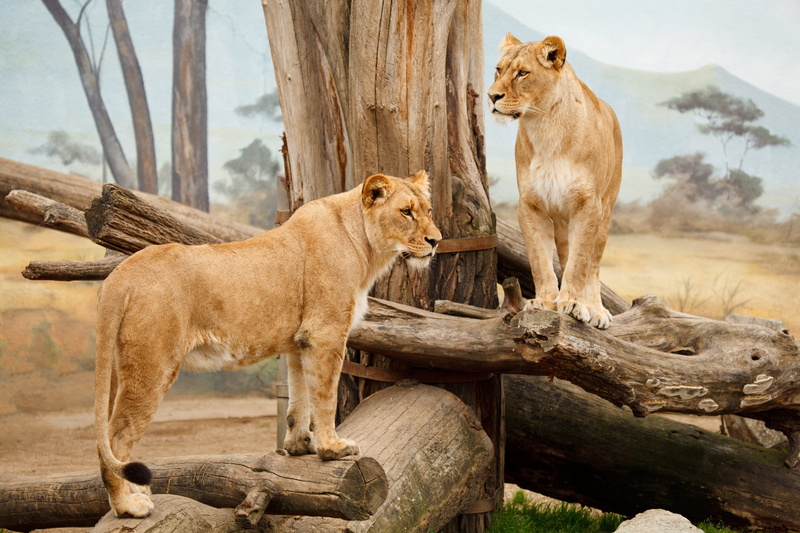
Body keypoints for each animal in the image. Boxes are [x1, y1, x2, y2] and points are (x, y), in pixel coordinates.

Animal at [94, 170, 441, 518]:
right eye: (406, 212)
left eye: (428, 211)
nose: (436, 241)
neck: (364, 244)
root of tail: (120, 276)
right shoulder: (326, 332)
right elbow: (325, 396)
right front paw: (332, 448)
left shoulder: (301, 341)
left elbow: (300, 397)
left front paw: (300, 446)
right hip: (153, 365)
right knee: (115, 438)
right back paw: (128, 506)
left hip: (122, 366)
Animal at [488, 34, 622, 329]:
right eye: (498, 70)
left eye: (523, 73)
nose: (492, 96)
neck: (544, 125)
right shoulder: (530, 205)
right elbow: (540, 260)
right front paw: (544, 301)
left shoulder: (588, 205)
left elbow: (581, 263)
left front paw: (573, 303)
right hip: (562, 219)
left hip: (606, 211)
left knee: (594, 265)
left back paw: (596, 309)